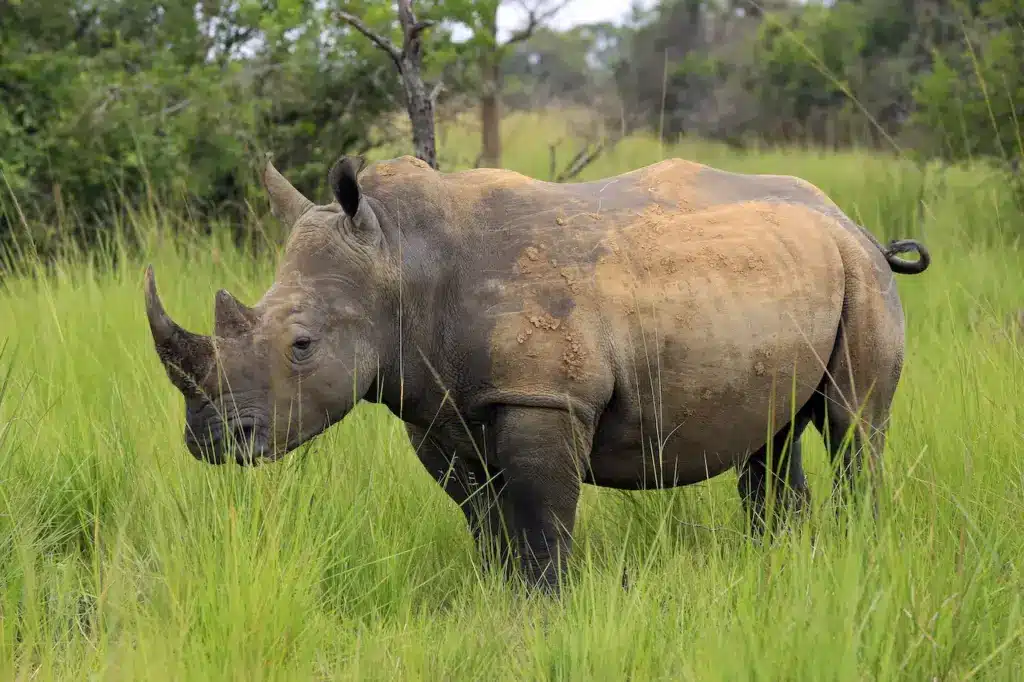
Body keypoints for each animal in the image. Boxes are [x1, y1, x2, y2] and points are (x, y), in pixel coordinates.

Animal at [142, 152, 929, 589]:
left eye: (301, 345)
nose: (210, 441)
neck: (400, 259)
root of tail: (850, 220)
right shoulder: (437, 406)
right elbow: (485, 518)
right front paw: (500, 599)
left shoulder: (543, 397)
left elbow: (541, 518)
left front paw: (546, 608)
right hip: (779, 276)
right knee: (771, 437)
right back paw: (780, 558)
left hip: (859, 273)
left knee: (855, 424)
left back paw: (855, 548)